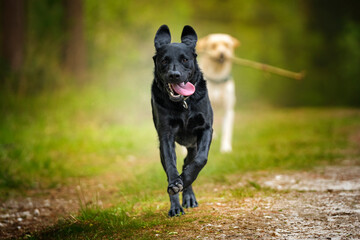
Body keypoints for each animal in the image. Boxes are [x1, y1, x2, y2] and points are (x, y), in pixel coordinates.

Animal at [150, 25, 212, 217]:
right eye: (164, 61)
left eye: (185, 59)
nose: (174, 75)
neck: (183, 104)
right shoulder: (166, 135)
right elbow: (171, 168)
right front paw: (176, 185)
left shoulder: (206, 129)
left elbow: (200, 160)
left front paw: (185, 180)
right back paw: (176, 205)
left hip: (193, 144)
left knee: (187, 163)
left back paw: (188, 195)